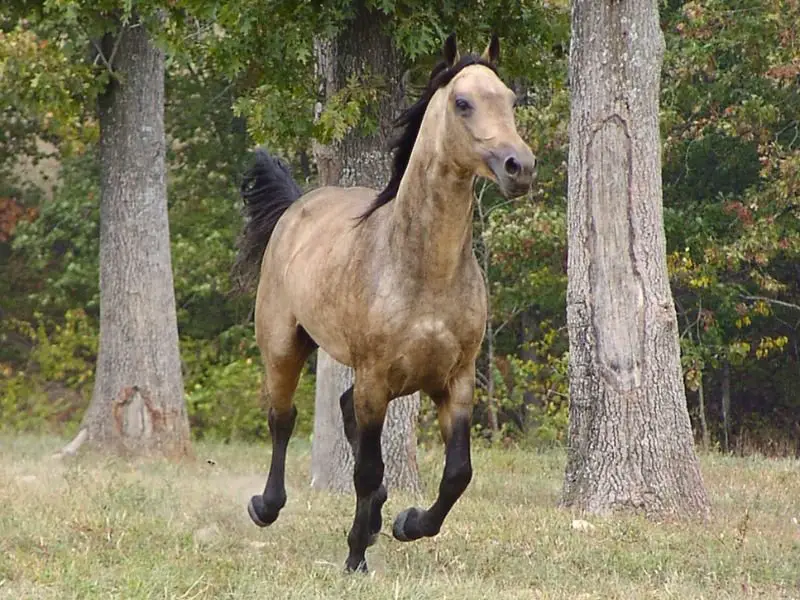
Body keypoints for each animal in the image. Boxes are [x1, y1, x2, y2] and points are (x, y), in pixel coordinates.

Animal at [234, 32, 536, 572]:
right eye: (463, 103)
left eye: (510, 100)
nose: (519, 167)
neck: (422, 272)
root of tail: (295, 206)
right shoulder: (375, 378)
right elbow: (368, 469)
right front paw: (356, 555)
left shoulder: (455, 381)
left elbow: (458, 473)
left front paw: (406, 523)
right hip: (284, 347)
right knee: (283, 419)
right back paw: (265, 507)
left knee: (342, 408)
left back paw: (376, 517)